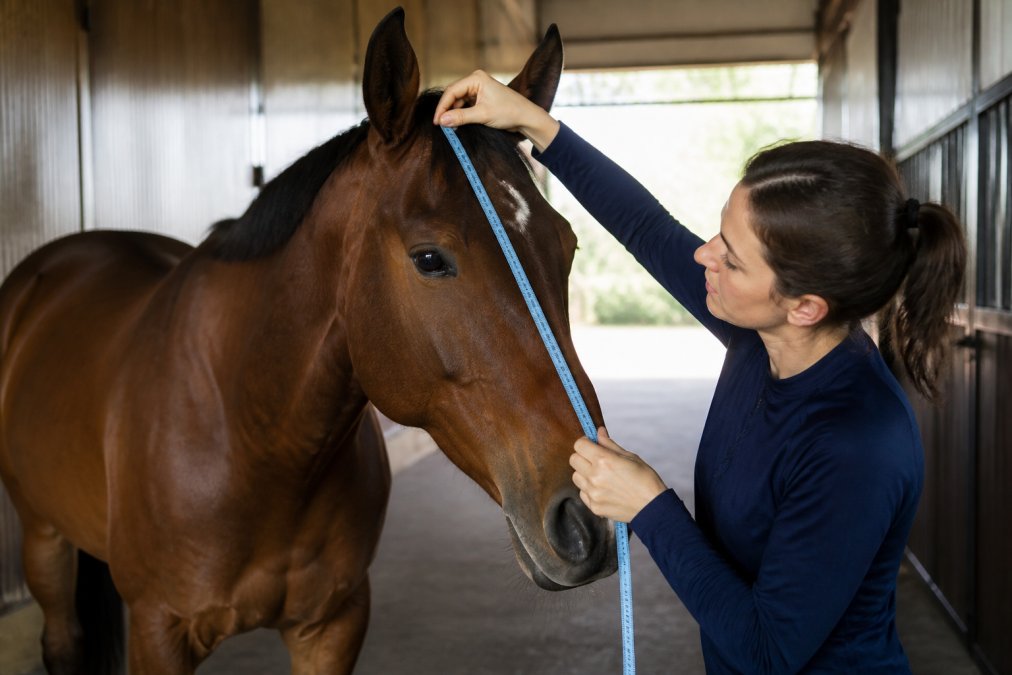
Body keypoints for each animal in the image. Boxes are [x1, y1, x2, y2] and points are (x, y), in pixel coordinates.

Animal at [0, 8, 614, 674]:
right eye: (430, 258)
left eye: (567, 246)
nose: (589, 517)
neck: (252, 431)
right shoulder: (158, 632)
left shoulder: (334, 623)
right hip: (42, 539)